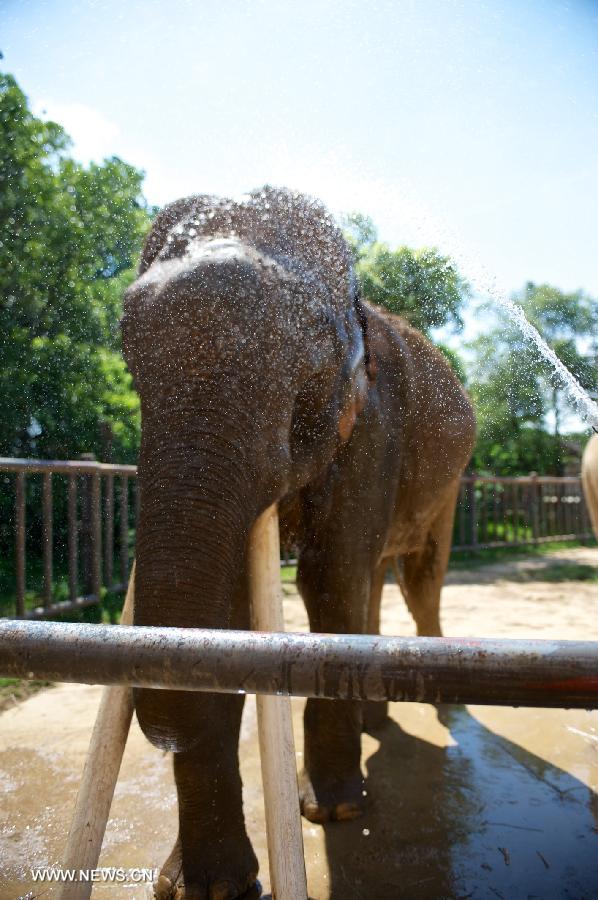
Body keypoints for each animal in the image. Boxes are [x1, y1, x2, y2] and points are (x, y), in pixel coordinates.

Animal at [122, 186, 478, 896]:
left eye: (311, 353)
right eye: (125, 343)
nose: (165, 736)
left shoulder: (375, 424)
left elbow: (330, 577)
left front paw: (335, 812)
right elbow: (231, 609)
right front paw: (205, 887)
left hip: (448, 486)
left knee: (416, 579)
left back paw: (435, 706)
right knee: (376, 581)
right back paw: (376, 720)